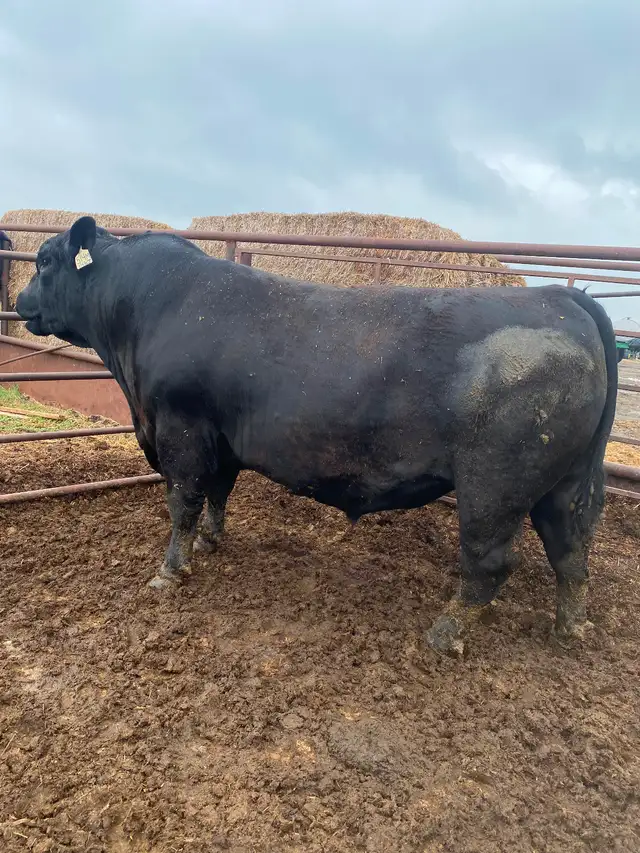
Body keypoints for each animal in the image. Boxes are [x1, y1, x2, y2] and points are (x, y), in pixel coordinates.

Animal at [16, 216, 617, 655]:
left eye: (44, 261)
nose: (19, 301)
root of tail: (559, 299)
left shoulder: (180, 427)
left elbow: (183, 500)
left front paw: (170, 572)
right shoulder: (222, 439)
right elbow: (217, 493)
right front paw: (211, 541)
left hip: (495, 484)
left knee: (491, 562)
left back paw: (445, 634)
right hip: (562, 482)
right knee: (570, 551)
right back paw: (570, 629)